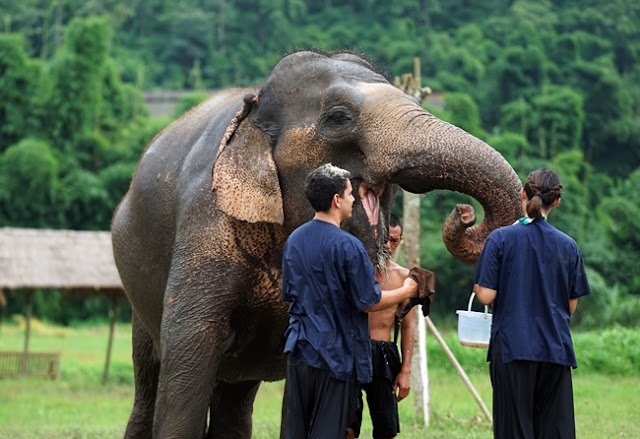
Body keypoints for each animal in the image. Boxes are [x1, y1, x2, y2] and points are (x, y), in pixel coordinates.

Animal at [111, 50, 523, 438]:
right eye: (339, 117)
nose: (464, 213)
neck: (254, 109)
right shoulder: (205, 224)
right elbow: (190, 350)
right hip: (139, 302)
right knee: (151, 385)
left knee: (234, 400)